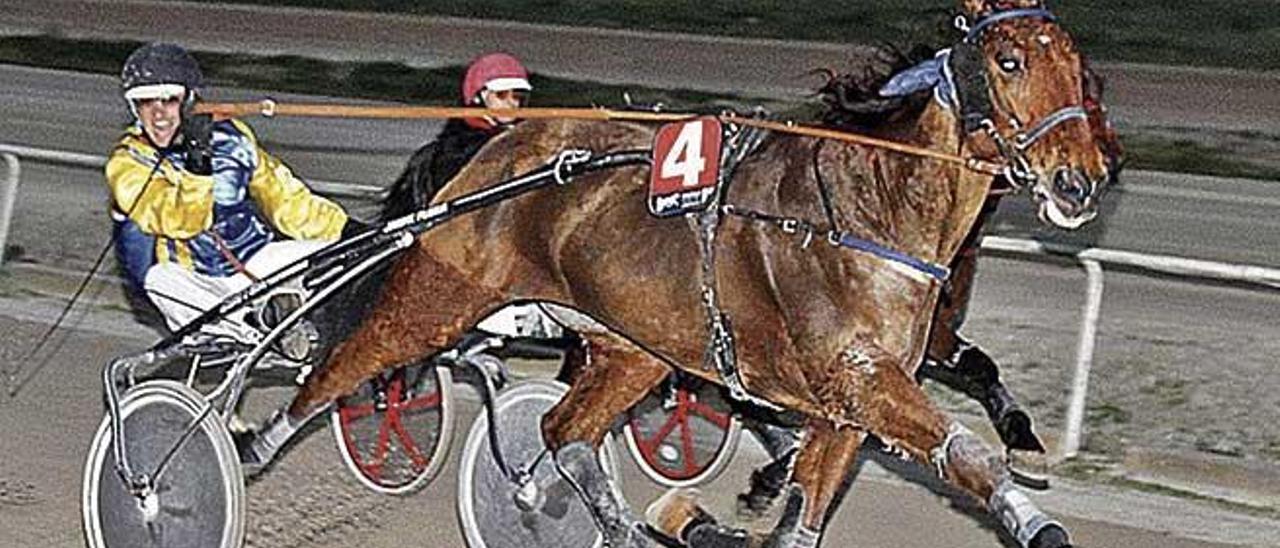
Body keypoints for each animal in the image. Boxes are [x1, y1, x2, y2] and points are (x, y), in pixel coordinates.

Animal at [249, 2, 1111, 545]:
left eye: (1083, 73)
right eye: (1007, 60)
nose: (1080, 180)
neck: (866, 211)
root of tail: (501, 150)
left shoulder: (848, 407)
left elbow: (805, 513)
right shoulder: (864, 382)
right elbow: (965, 453)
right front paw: (1036, 519)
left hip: (633, 347)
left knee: (566, 435)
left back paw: (618, 521)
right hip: (441, 294)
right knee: (341, 367)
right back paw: (246, 445)